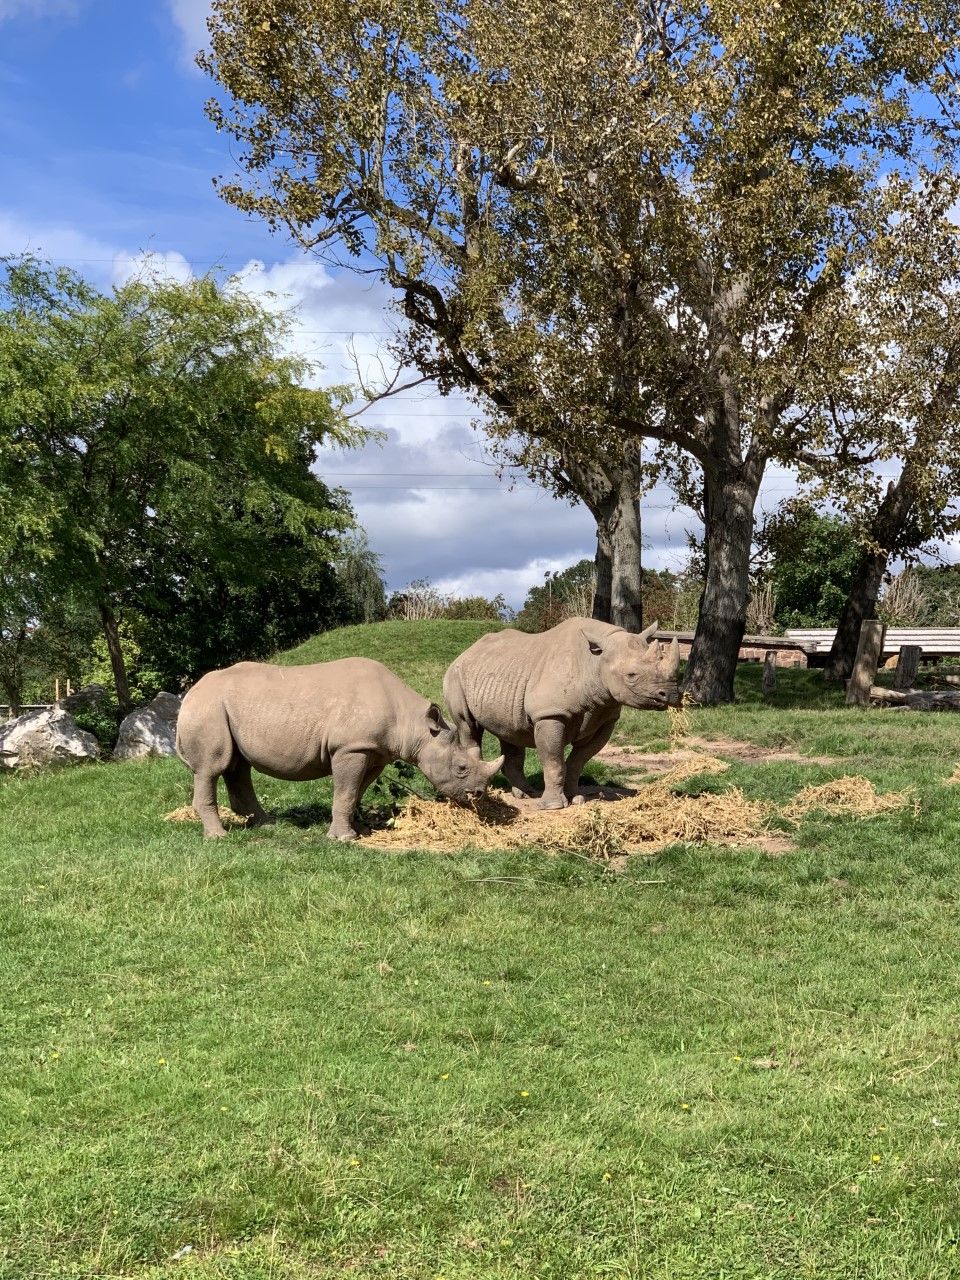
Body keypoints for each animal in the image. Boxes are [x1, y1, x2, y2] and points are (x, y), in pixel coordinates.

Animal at [176, 660, 504, 839]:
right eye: (461, 768)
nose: (478, 795)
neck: (415, 725)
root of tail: (189, 694)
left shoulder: (374, 751)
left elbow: (355, 791)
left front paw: (359, 829)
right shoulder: (350, 748)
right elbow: (346, 790)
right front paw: (345, 838)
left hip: (224, 708)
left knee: (238, 765)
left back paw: (266, 824)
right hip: (207, 709)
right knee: (212, 768)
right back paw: (218, 836)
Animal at [445, 619, 686, 808]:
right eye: (631, 675)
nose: (670, 694)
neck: (595, 661)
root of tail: (467, 651)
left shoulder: (605, 716)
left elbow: (578, 760)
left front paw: (576, 798)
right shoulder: (550, 714)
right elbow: (554, 760)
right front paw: (553, 806)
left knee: (510, 732)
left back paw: (526, 794)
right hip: (455, 675)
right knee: (468, 725)